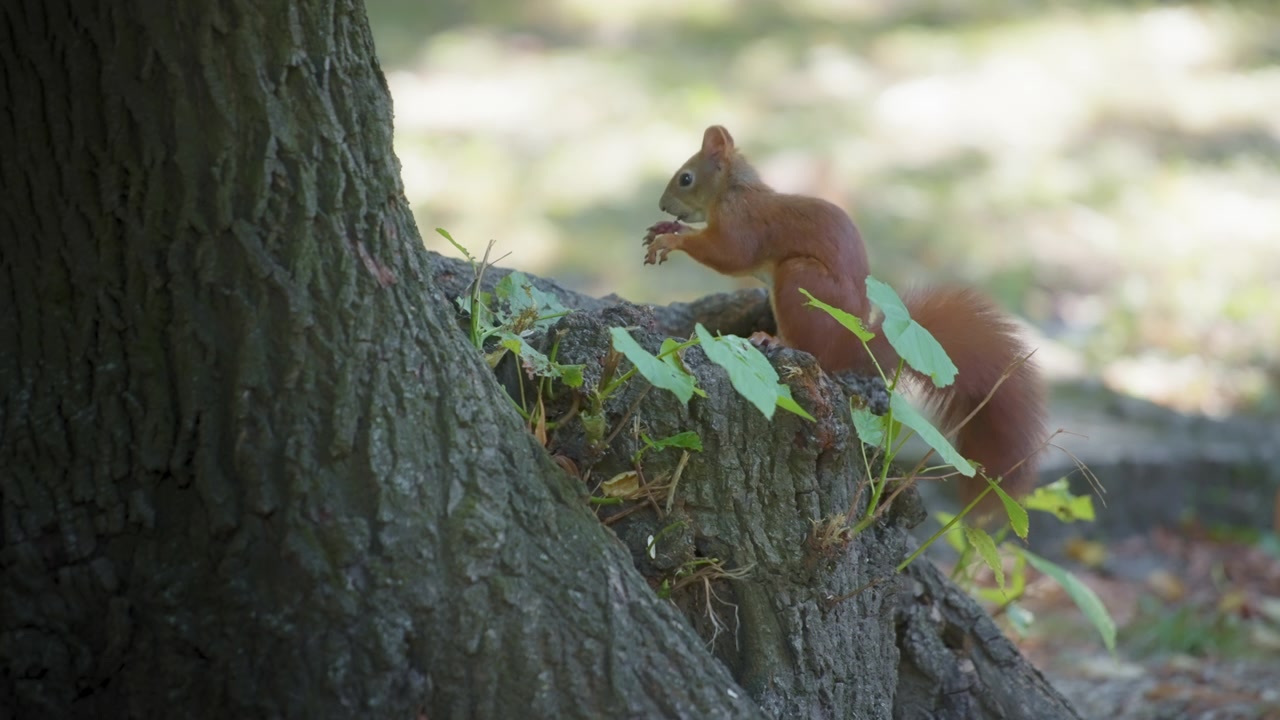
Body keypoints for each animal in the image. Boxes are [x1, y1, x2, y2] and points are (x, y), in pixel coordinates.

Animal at [642, 125, 1046, 509]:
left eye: (685, 177)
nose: (661, 206)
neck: (734, 189)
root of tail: (847, 346)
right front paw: (665, 231)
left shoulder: (742, 224)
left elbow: (728, 254)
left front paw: (672, 239)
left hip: (799, 282)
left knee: (811, 349)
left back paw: (770, 339)